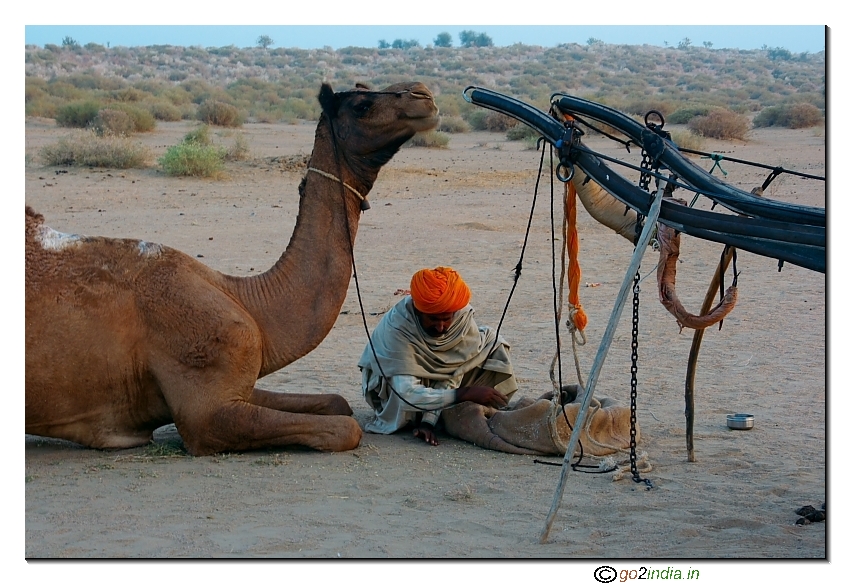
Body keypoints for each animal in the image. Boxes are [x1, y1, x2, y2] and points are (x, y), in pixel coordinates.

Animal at [25, 81, 439, 456]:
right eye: (362, 105)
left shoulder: (239, 384)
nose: (423, 95)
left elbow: (336, 401)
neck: (246, 299)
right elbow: (345, 428)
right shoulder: (205, 412)